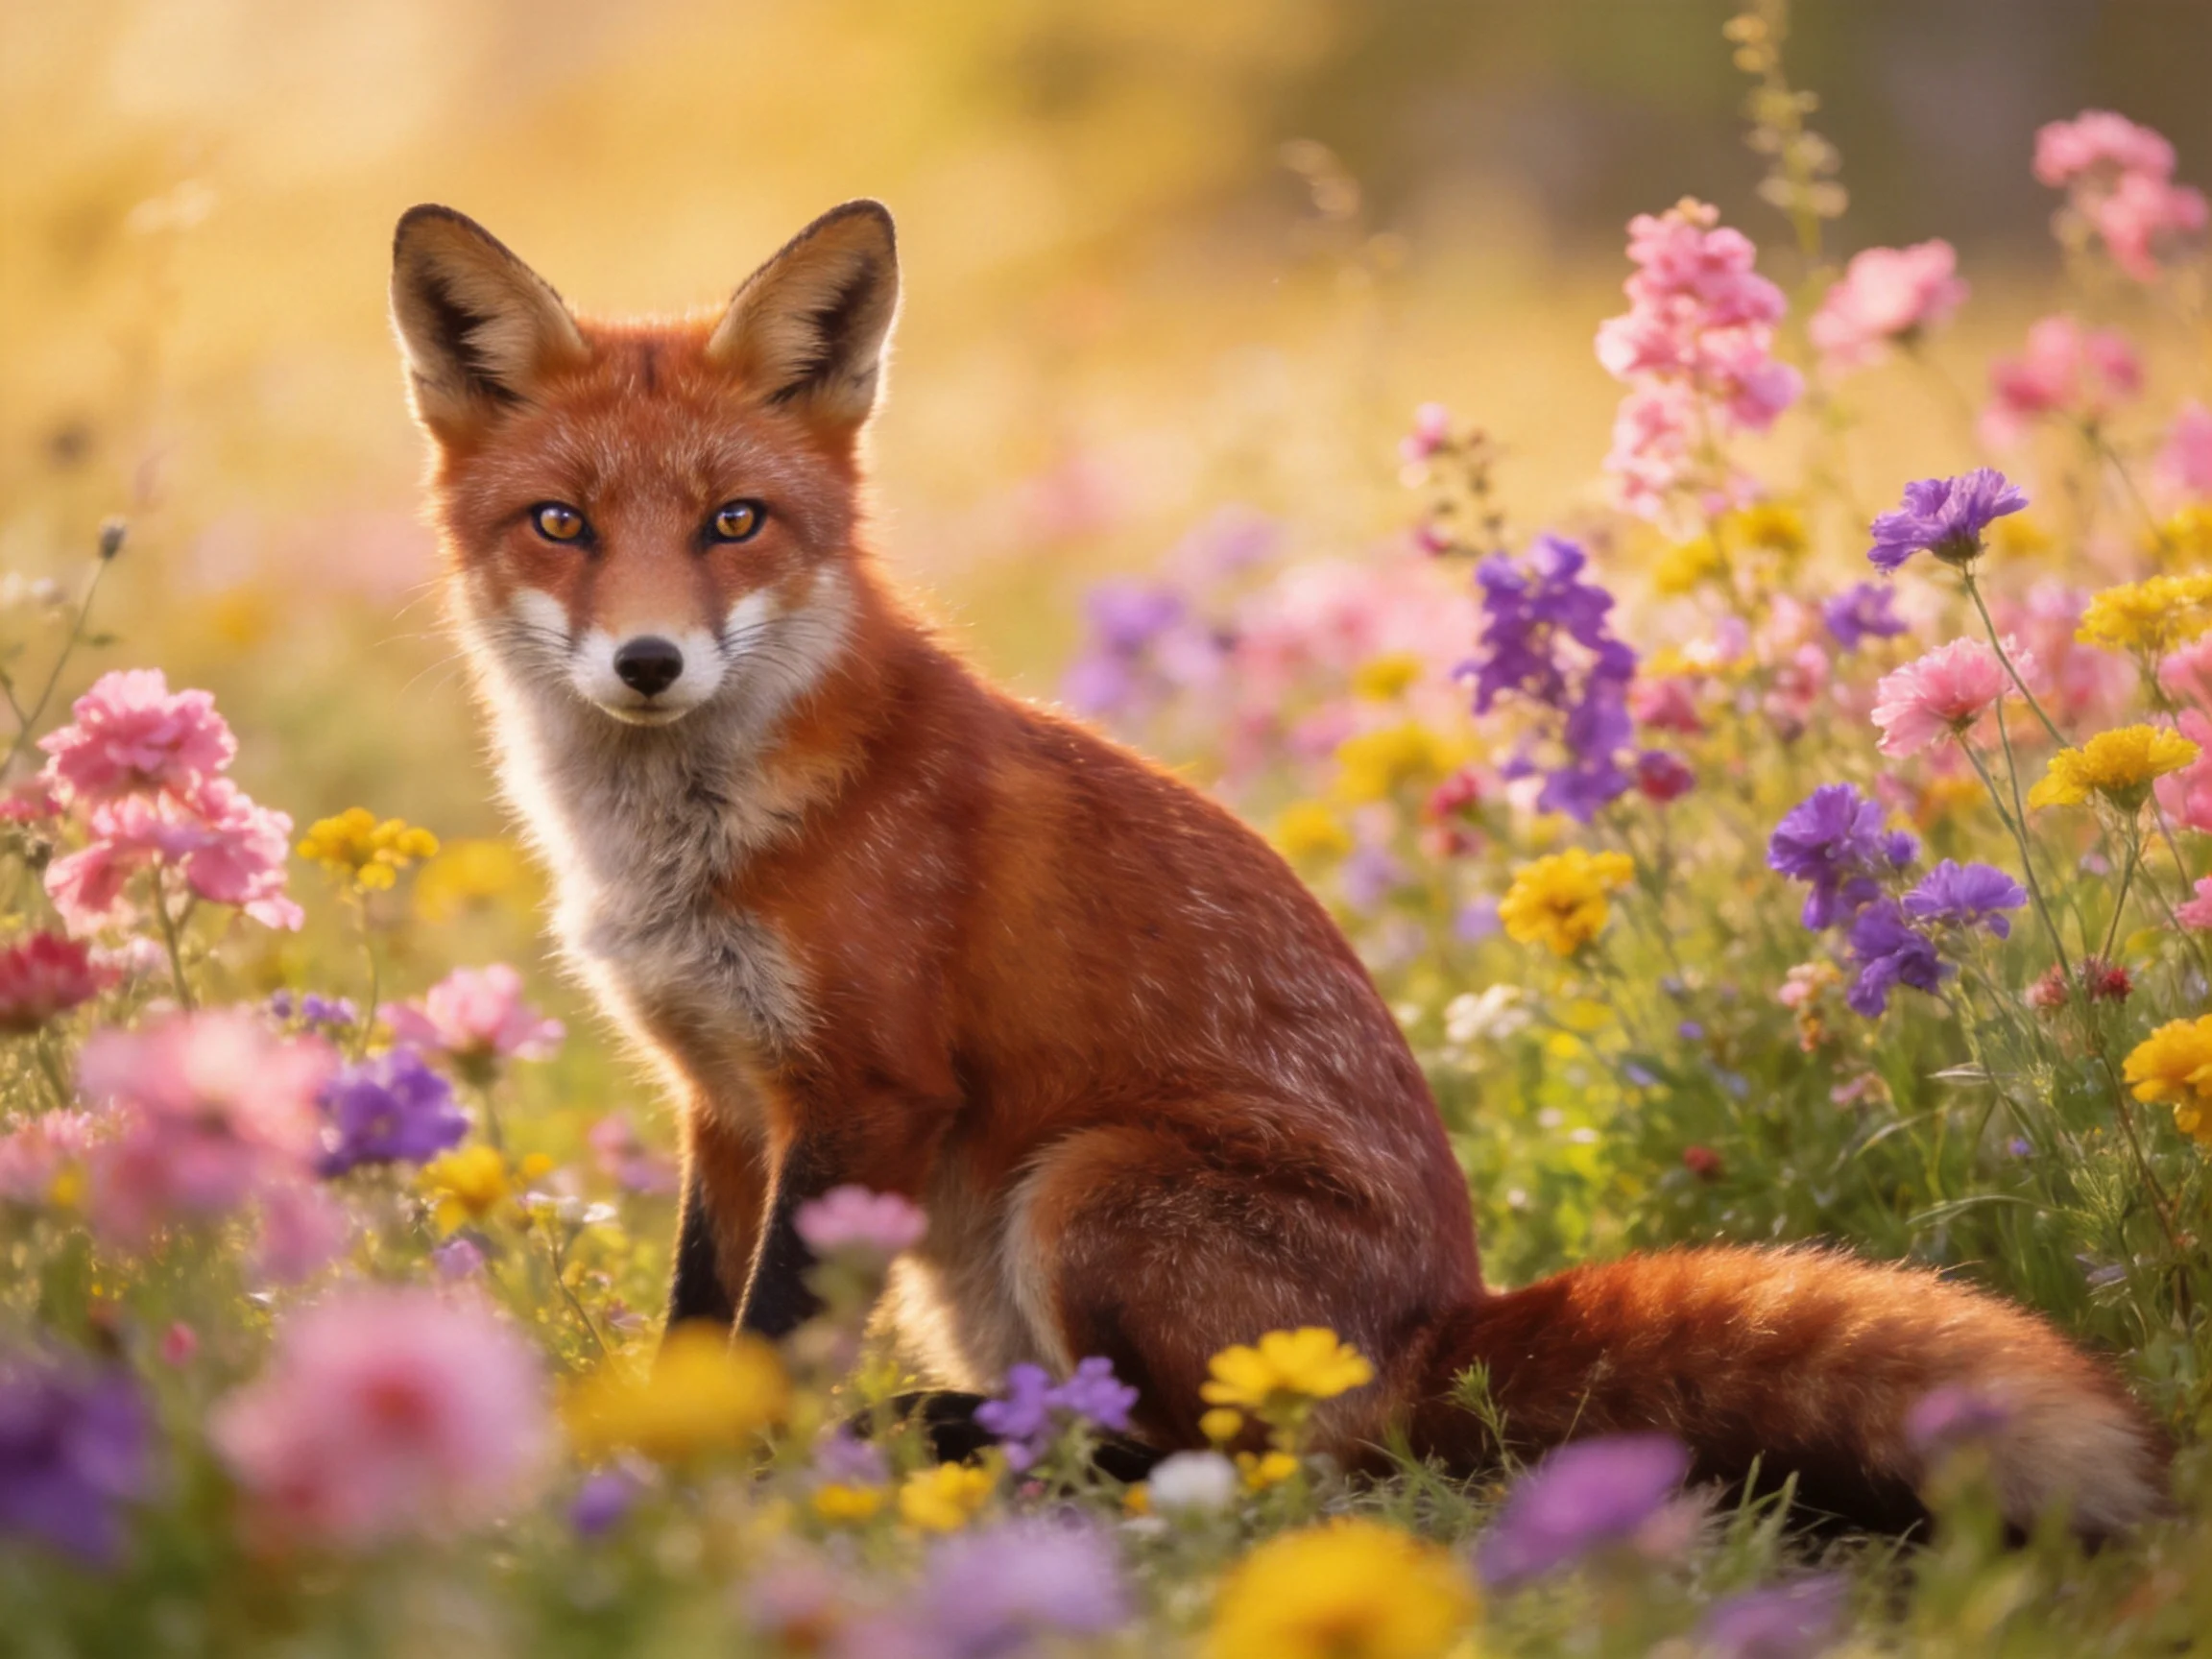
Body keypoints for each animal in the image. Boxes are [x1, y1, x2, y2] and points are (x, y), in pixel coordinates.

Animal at [388, 198, 2167, 1538]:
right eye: (559, 523)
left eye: (735, 521)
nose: (647, 663)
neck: (687, 839)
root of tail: (1438, 1326)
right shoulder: (725, 1096)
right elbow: (700, 1317)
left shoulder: (864, 1091)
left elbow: (757, 1336)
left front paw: (714, 1490)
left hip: (1087, 1184)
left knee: (1231, 1463)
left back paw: (968, 1445)